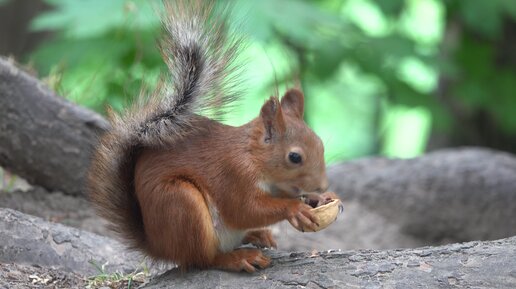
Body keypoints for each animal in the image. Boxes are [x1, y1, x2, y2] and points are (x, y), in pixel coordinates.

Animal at [87, 0, 330, 272]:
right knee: (202, 258)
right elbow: (246, 209)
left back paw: (257, 235)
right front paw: (295, 208)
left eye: (321, 144)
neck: (253, 156)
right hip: (182, 204)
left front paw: (319, 198)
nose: (323, 185)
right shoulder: (234, 175)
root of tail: (159, 247)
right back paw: (238, 257)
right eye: (294, 157)